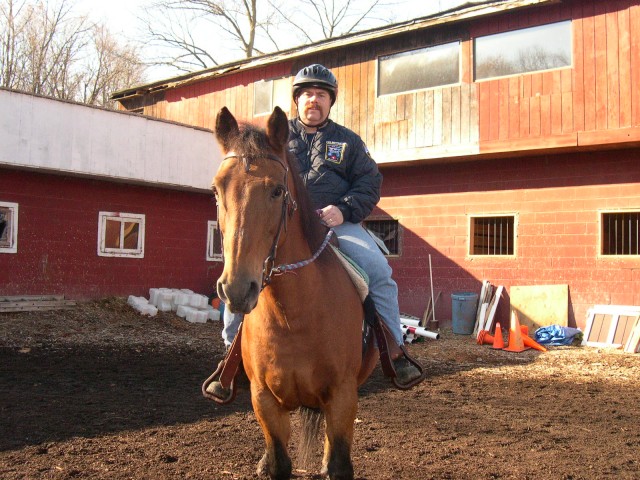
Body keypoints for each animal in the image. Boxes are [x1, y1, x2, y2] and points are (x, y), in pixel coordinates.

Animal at [215, 106, 378, 480]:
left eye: (277, 191)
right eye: (216, 190)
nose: (237, 288)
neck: (293, 316)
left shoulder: (343, 395)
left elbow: (339, 464)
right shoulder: (264, 399)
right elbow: (279, 462)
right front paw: (268, 462)